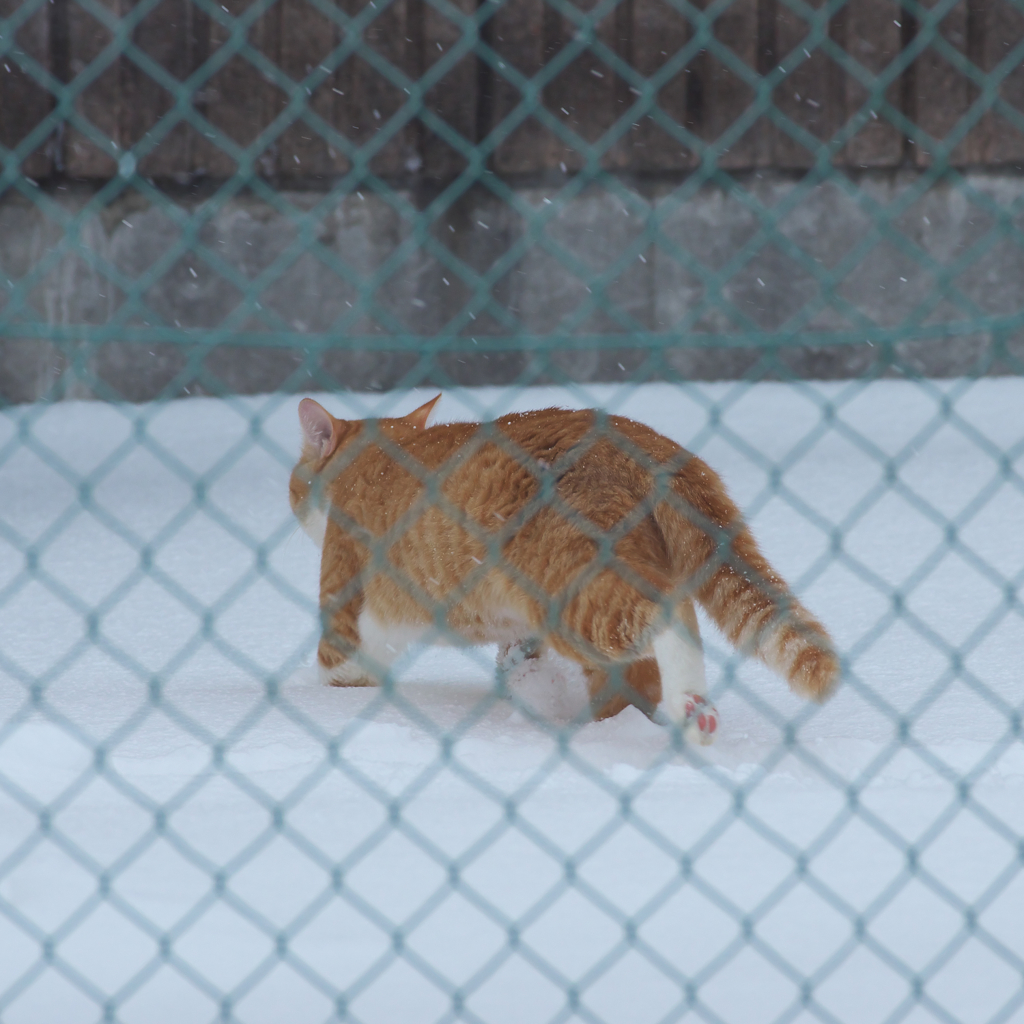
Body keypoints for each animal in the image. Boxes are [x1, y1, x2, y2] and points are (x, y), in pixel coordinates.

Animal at [288, 393, 839, 745]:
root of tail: (644, 439)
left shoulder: (347, 619)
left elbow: (339, 669)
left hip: (574, 594)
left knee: (666, 616)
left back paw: (682, 711)